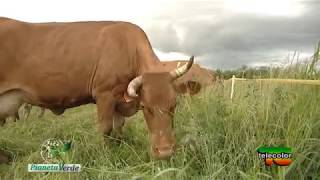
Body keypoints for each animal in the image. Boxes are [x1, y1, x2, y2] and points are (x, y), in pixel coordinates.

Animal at [0, 17, 195, 160]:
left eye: (174, 105)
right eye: (145, 107)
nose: (165, 152)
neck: (128, 47)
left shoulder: (118, 101)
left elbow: (118, 129)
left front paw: (118, 148)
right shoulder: (105, 95)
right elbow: (106, 128)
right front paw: (107, 154)